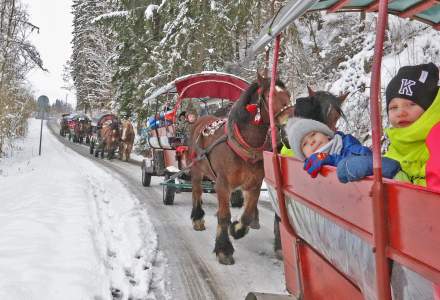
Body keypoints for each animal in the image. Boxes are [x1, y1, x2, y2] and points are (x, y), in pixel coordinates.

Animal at [188, 73, 292, 264]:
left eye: (288, 94)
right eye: (269, 96)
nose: (289, 129)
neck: (243, 145)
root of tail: (201, 120)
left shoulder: (254, 184)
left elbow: (248, 214)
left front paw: (236, 229)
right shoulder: (222, 184)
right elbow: (224, 215)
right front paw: (224, 249)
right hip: (197, 171)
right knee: (197, 192)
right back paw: (198, 218)